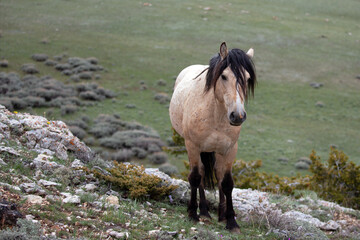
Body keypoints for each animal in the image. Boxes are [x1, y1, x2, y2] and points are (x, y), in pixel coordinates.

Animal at [169, 42, 256, 232]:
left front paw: (231, 221)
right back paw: (204, 212)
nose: (238, 116)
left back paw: (221, 215)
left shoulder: (229, 149)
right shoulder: (193, 146)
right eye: (223, 76)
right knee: (201, 174)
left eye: (247, 78)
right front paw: (193, 215)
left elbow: (227, 182)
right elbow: (195, 177)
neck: (216, 115)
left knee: (217, 174)